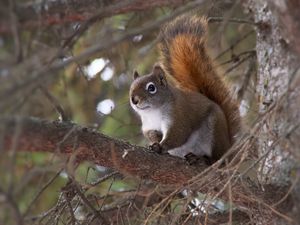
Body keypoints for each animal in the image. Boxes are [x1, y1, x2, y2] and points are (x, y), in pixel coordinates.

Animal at [129, 14, 241, 162]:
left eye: (151, 88)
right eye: (131, 88)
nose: (134, 100)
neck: (154, 112)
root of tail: (229, 149)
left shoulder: (179, 116)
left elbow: (178, 135)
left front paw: (160, 147)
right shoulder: (149, 126)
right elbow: (153, 135)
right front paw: (154, 143)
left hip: (215, 131)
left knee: (217, 158)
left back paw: (203, 159)